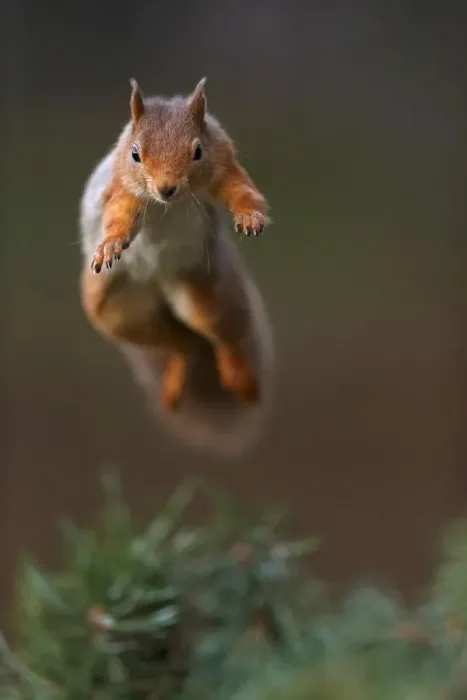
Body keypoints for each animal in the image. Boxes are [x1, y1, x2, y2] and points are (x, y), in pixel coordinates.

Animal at [79, 78, 274, 456]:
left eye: (197, 151)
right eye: (135, 153)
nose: (166, 188)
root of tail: (158, 282)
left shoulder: (223, 161)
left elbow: (242, 191)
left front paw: (250, 217)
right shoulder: (122, 188)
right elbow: (118, 218)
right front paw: (109, 244)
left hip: (205, 295)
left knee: (221, 337)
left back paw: (242, 381)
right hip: (115, 310)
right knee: (180, 344)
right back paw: (174, 384)